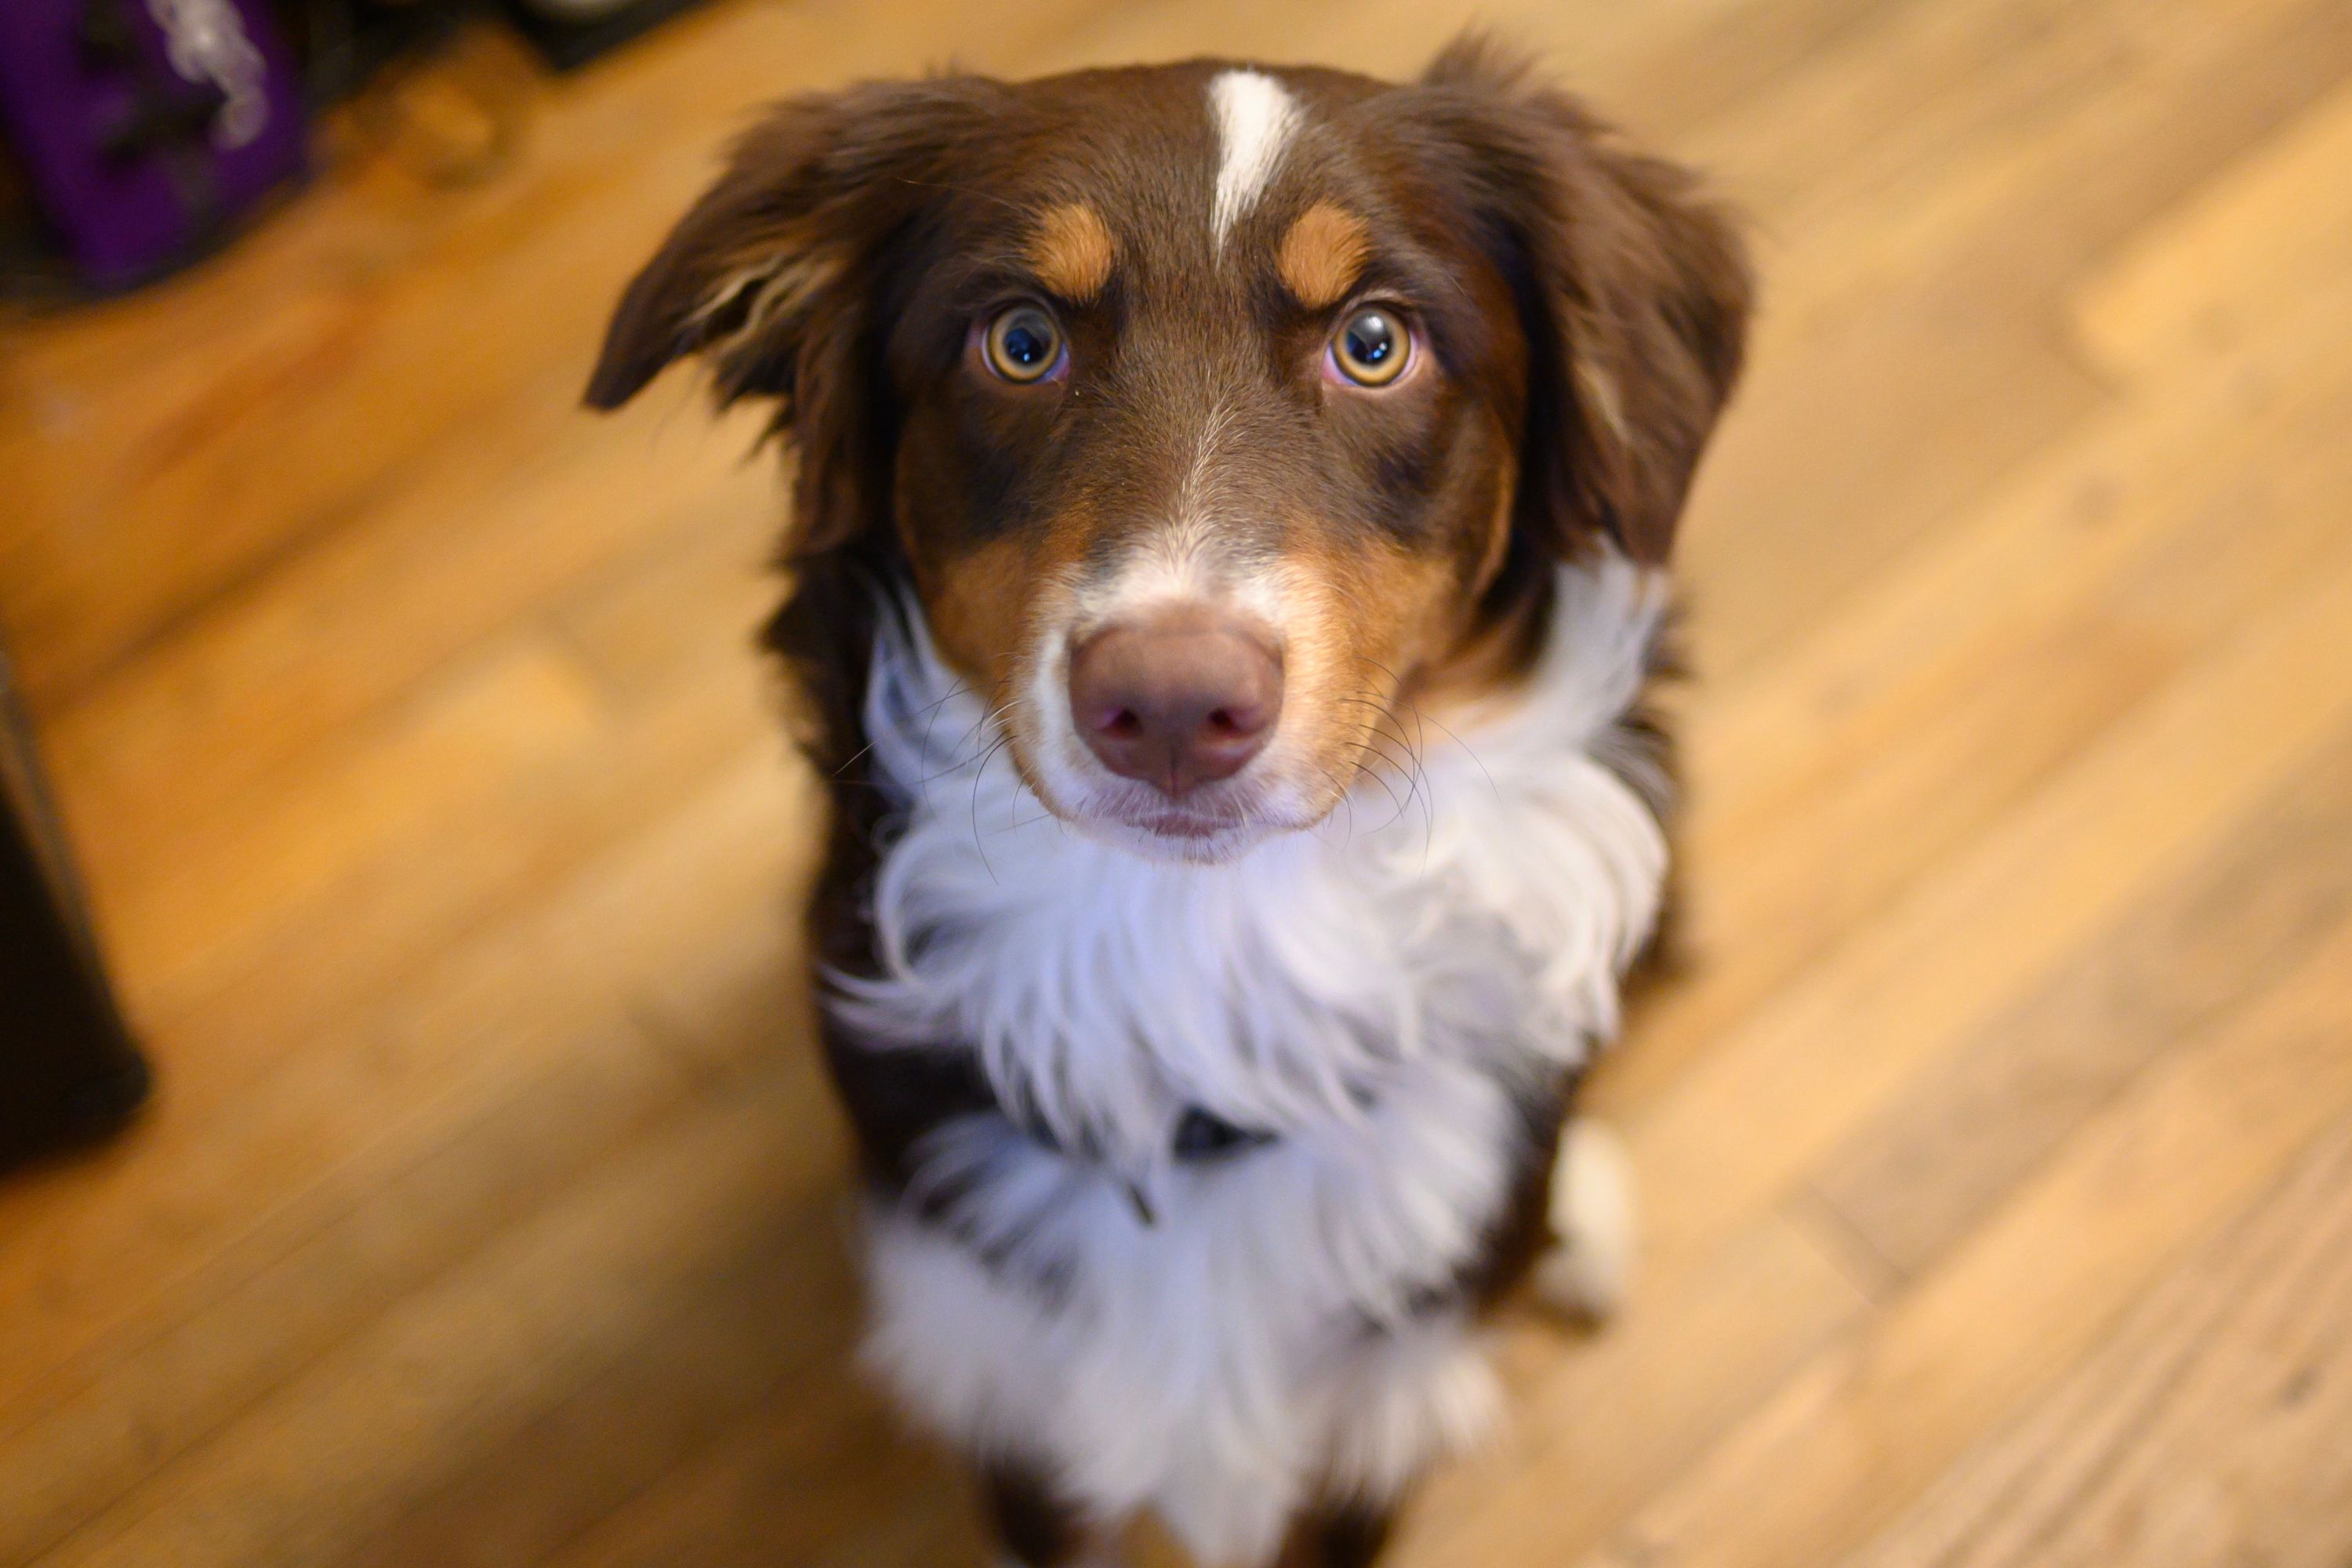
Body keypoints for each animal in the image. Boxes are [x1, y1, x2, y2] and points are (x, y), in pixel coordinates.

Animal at [593, 39, 1750, 1568]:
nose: (1174, 704)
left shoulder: (1368, 1416)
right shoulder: (1010, 1389)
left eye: (1375, 342)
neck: (1204, 958)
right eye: (1021, 340)